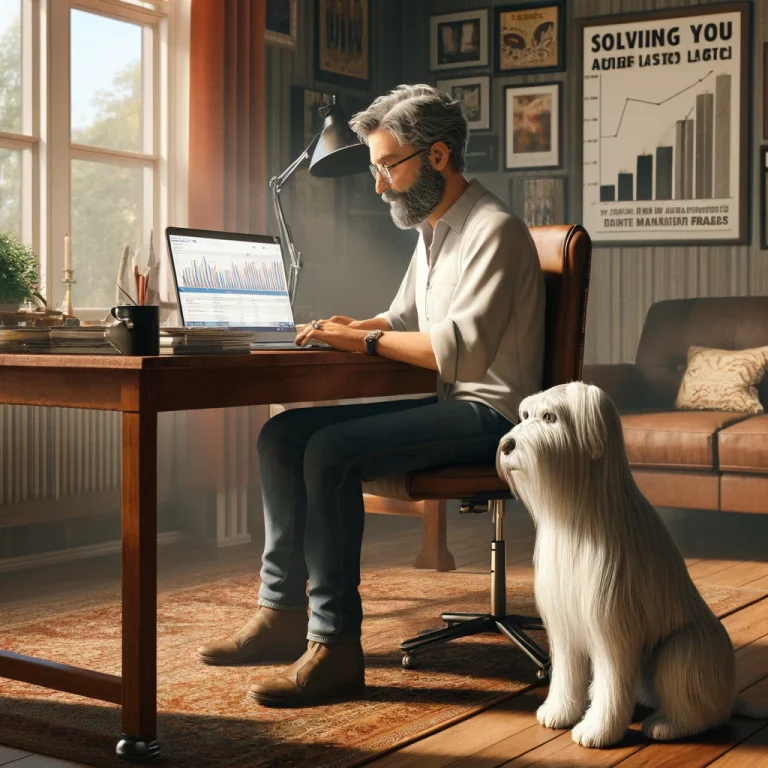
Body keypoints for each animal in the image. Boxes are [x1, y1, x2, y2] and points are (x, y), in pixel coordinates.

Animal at [496, 380, 764, 748]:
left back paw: (666, 725)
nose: (506, 444)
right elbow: (566, 674)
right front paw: (559, 712)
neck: (575, 516)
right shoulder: (563, 623)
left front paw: (597, 731)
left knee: (700, 712)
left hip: (681, 649)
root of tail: (731, 696)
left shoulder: (613, 625)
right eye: (524, 415)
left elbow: (612, 684)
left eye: (549, 417)